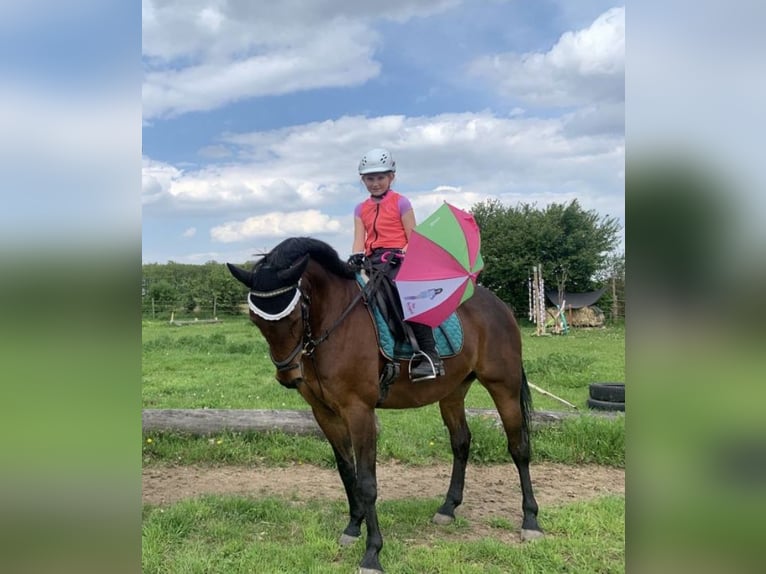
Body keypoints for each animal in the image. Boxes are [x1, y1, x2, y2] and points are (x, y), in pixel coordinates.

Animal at [227, 236, 542, 573]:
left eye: (297, 314)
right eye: (255, 320)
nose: (288, 375)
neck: (334, 321)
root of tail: (498, 305)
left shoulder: (359, 411)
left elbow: (367, 482)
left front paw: (372, 553)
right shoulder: (324, 413)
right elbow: (346, 471)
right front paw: (353, 527)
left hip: (503, 386)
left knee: (519, 447)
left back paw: (530, 521)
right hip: (453, 391)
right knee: (461, 442)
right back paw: (448, 508)